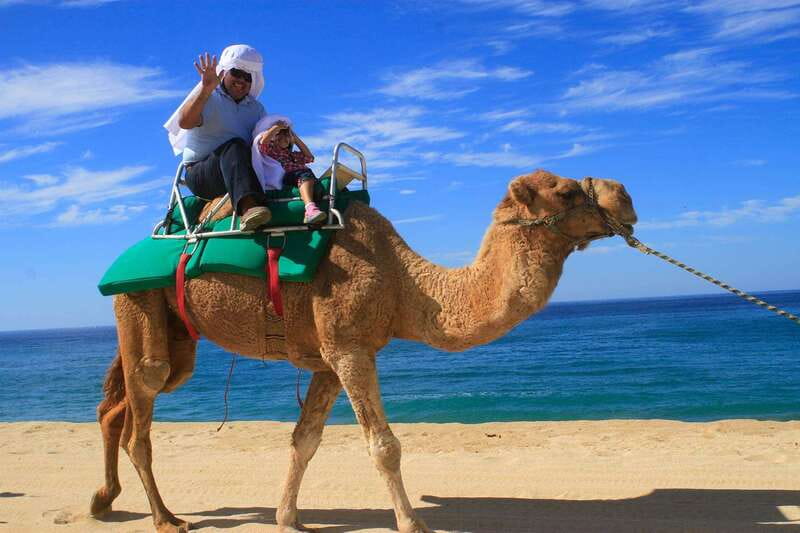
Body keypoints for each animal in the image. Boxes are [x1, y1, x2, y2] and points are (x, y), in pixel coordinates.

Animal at [89, 169, 637, 533]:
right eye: (567, 190)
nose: (627, 198)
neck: (403, 283)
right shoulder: (351, 348)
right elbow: (384, 446)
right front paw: (412, 525)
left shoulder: (331, 358)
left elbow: (304, 440)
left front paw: (287, 519)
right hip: (139, 301)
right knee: (143, 402)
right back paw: (165, 518)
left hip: (177, 332)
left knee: (117, 404)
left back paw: (103, 500)